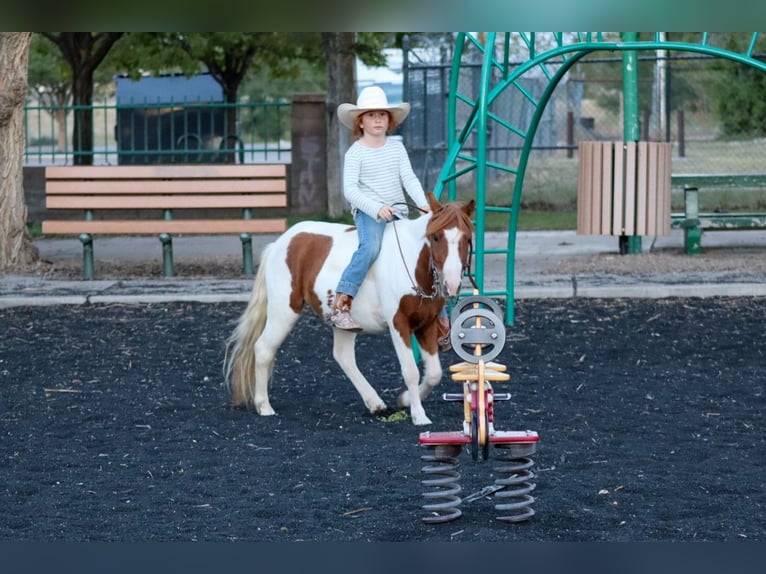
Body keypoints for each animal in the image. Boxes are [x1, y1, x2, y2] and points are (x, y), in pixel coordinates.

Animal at [224, 191, 475, 426]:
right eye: (435, 237)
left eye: (466, 238)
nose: (452, 284)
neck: (413, 264)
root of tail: (280, 243)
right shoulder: (399, 323)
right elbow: (410, 371)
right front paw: (419, 415)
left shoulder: (427, 324)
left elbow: (433, 373)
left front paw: (404, 400)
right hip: (283, 311)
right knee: (264, 349)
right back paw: (264, 406)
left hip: (344, 323)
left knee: (343, 356)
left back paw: (374, 402)